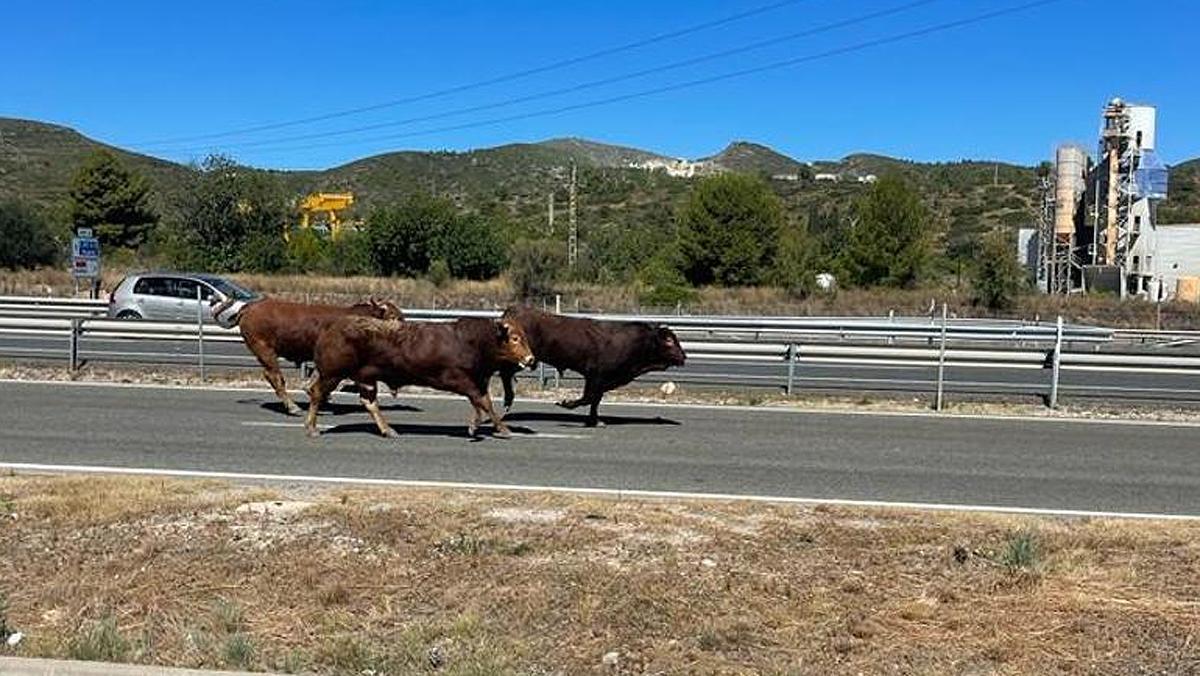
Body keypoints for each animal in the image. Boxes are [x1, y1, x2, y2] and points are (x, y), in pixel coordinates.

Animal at [304, 316, 535, 439]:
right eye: (515, 338)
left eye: (524, 336)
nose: (531, 359)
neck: (473, 342)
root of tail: (330, 328)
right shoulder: (458, 379)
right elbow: (480, 401)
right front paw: (478, 425)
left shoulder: (478, 381)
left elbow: (485, 402)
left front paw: (500, 427)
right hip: (332, 374)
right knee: (316, 392)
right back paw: (312, 427)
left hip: (365, 379)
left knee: (369, 402)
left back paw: (388, 429)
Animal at [494, 307, 686, 427]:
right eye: (669, 340)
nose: (683, 357)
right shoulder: (595, 375)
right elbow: (588, 397)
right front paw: (566, 403)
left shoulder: (602, 380)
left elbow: (595, 399)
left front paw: (595, 420)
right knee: (504, 373)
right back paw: (507, 401)